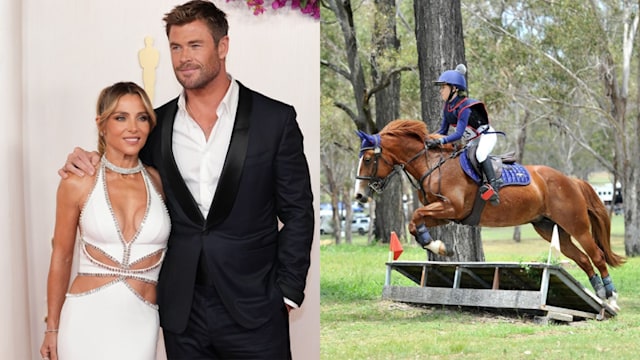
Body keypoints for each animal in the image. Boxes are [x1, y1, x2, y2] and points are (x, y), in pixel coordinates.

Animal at [352, 119, 624, 310]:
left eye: (368, 159)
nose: (359, 196)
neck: (433, 165)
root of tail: (571, 180)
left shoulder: (452, 208)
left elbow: (417, 214)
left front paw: (437, 246)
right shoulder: (445, 213)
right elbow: (415, 221)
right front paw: (438, 246)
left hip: (576, 225)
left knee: (597, 256)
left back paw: (612, 300)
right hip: (550, 229)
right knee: (582, 259)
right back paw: (601, 295)